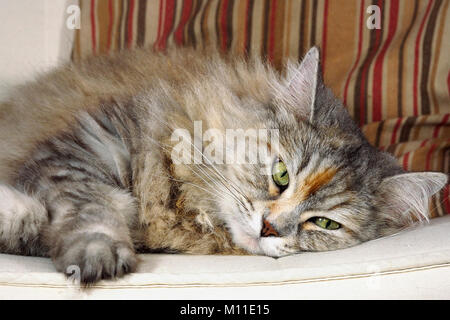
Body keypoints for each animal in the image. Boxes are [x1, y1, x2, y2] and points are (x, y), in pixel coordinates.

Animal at [0, 47, 444, 282]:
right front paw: (97, 254)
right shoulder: (89, 146)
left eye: (325, 223)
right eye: (281, 174)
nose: (269, 228)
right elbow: (93, 207)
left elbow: (34, 223)